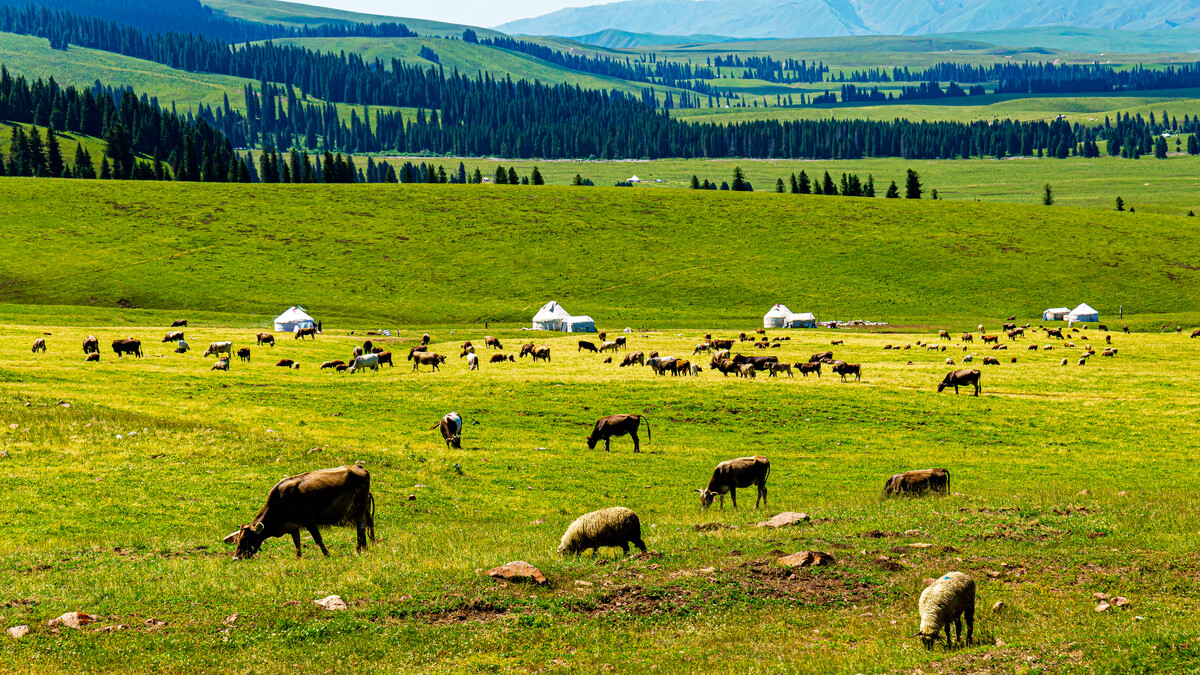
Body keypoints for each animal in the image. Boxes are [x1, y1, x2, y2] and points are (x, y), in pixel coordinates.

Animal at [222, 461, 374, 557]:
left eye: (246, 539)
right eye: (238, 539)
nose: (236, 557)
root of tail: (358, 467)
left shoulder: (309, 520)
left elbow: (318, 539)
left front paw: (327, 555)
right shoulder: (293, 527)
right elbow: (297, 544)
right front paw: (299, 558)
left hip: (359, 505)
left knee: (361, 526)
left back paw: (357, 550)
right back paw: (364, 549)